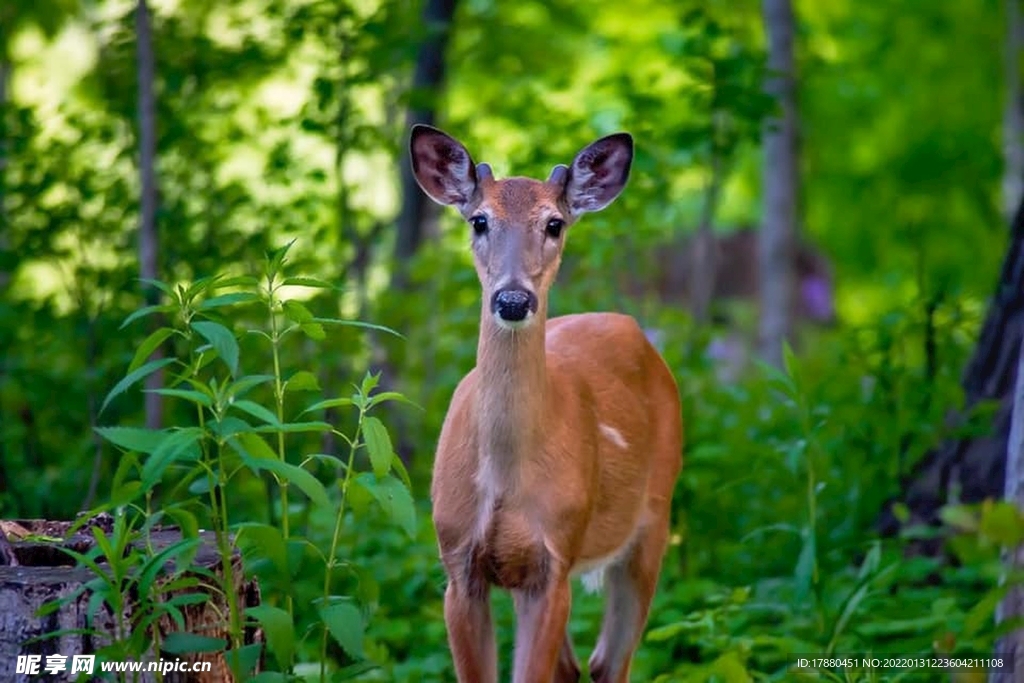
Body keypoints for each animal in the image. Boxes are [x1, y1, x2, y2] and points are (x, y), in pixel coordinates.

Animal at [409, 124, 688, 683]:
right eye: (479, 219)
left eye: (555, 223)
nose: (513, 300)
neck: (503, 478)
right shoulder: (458, 563)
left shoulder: (554, 560)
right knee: (579, 667)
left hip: (654, 519)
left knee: (610, 663)